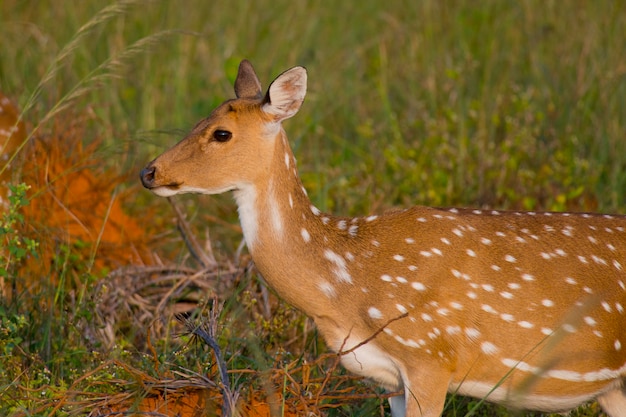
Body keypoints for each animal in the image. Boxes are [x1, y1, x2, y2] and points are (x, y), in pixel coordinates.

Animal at [141, 60, 624, 414]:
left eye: (221, 133)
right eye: (200, 119)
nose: (149, 172)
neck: (345, 285)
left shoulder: (431, 357)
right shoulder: (389, 378)